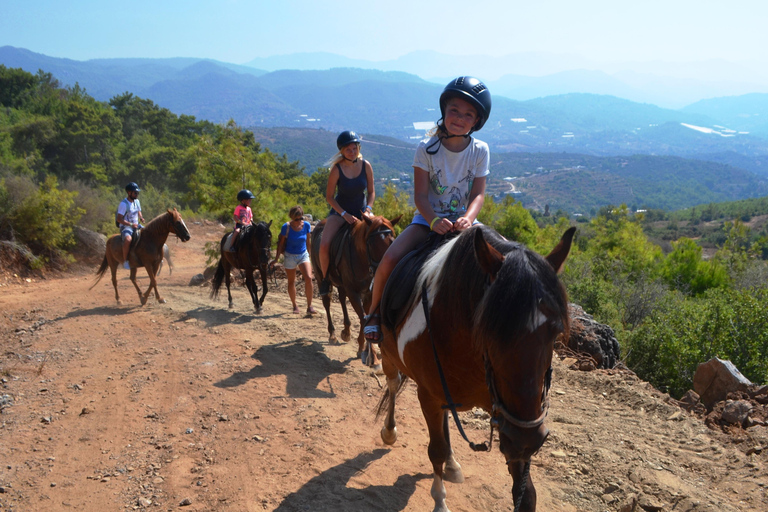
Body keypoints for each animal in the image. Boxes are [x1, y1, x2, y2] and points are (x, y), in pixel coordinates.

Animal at [308, 215, 402, 368]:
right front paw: (372, 356)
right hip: (320, 276)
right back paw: (332, 334)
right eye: (371, 243)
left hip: (341, 284)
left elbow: (366, 318)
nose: (383, 270)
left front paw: (362, 349)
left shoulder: (368, 294)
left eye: (392, 241)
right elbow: (364, 319)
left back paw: (346, 332)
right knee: (327, 302)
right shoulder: (353, 292)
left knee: (341, 298)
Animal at [376, 225, 572, 512]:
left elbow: (526, 493)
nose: (529, 439)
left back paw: (452, 462)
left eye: (556, 333)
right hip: (388, 355)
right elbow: (434, 449)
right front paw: (440, 501)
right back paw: (390, 431)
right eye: (489, 330)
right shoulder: (428, 396)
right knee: (392, 385)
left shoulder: (507, 415)